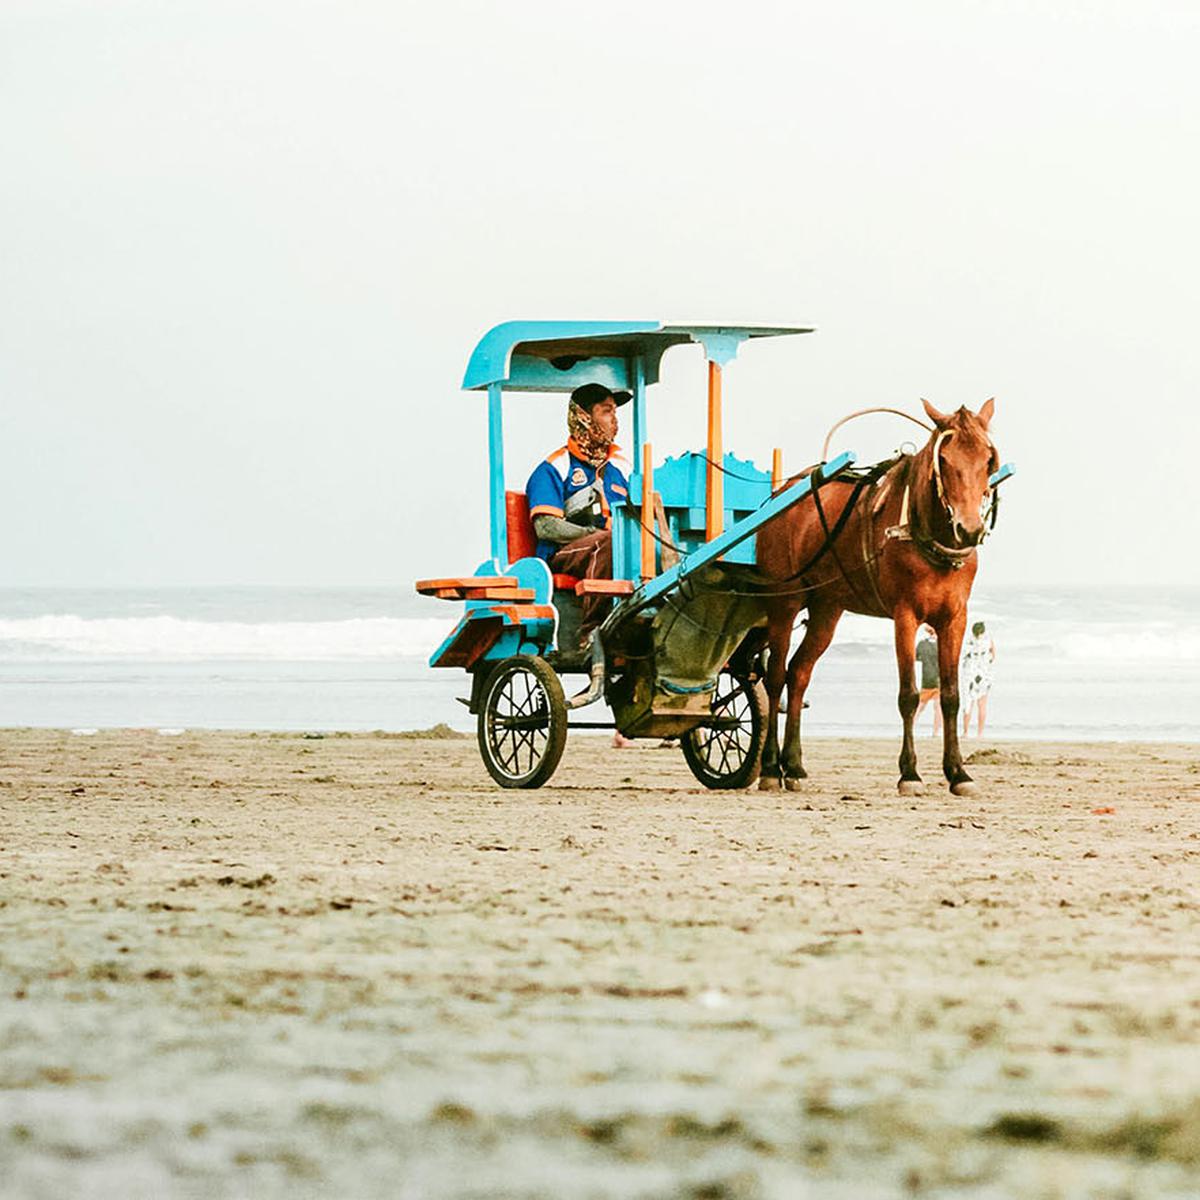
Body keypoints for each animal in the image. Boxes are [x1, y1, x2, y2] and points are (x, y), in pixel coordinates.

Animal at [753, 393, 998, 801]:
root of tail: (783, 493)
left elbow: (950, 695)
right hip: (784, 601)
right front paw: (909, 773)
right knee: (775, 678)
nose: (969, 529)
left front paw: (958, 772)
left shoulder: (955, 618)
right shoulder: (905, 616)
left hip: (826, 607)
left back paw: (795, 765)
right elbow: (909, 695)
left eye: (987, 459)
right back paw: (771, 766)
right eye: (945, 461)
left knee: (799, 674)